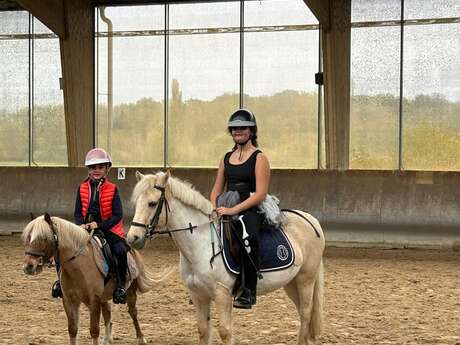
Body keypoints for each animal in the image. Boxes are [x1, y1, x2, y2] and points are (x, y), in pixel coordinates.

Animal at [21, 214, 173, 344]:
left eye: (44, 238)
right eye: (29, 238)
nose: (29, 266)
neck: (78, 266)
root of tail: (131, 249)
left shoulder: (94, 300)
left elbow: (94, 330)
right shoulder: (69, 301)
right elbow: (72, 330)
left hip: (130, 292)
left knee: (133, 313)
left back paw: (141, 338)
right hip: (104, 297)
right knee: (107, 315)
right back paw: (107, 340)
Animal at [127, 172, 326, 344]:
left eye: (152, 203)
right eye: (136, 203)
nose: (132, 238)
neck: (200, 244)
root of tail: (311, 219)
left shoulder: (222, 295)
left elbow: (225, 332)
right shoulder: (199, 295)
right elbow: (203, 330)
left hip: (306, 279)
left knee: (306, 313)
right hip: (291, 282)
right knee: (303, 313)